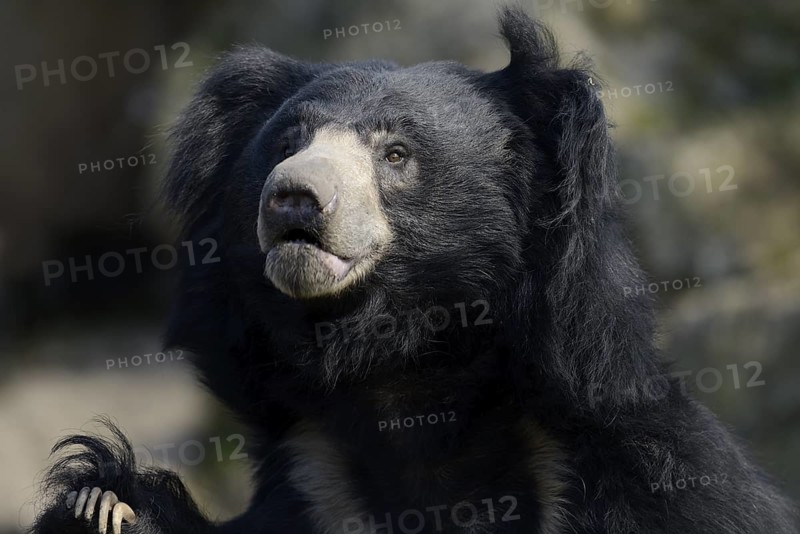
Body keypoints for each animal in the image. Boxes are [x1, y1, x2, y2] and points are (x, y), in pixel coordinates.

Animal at [30, 7, 796, 534]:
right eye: (287, 142)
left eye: (395, 154)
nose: (292, 198)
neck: (406, 381)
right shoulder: (316, 486)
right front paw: (105, 506)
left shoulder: (638, 474)